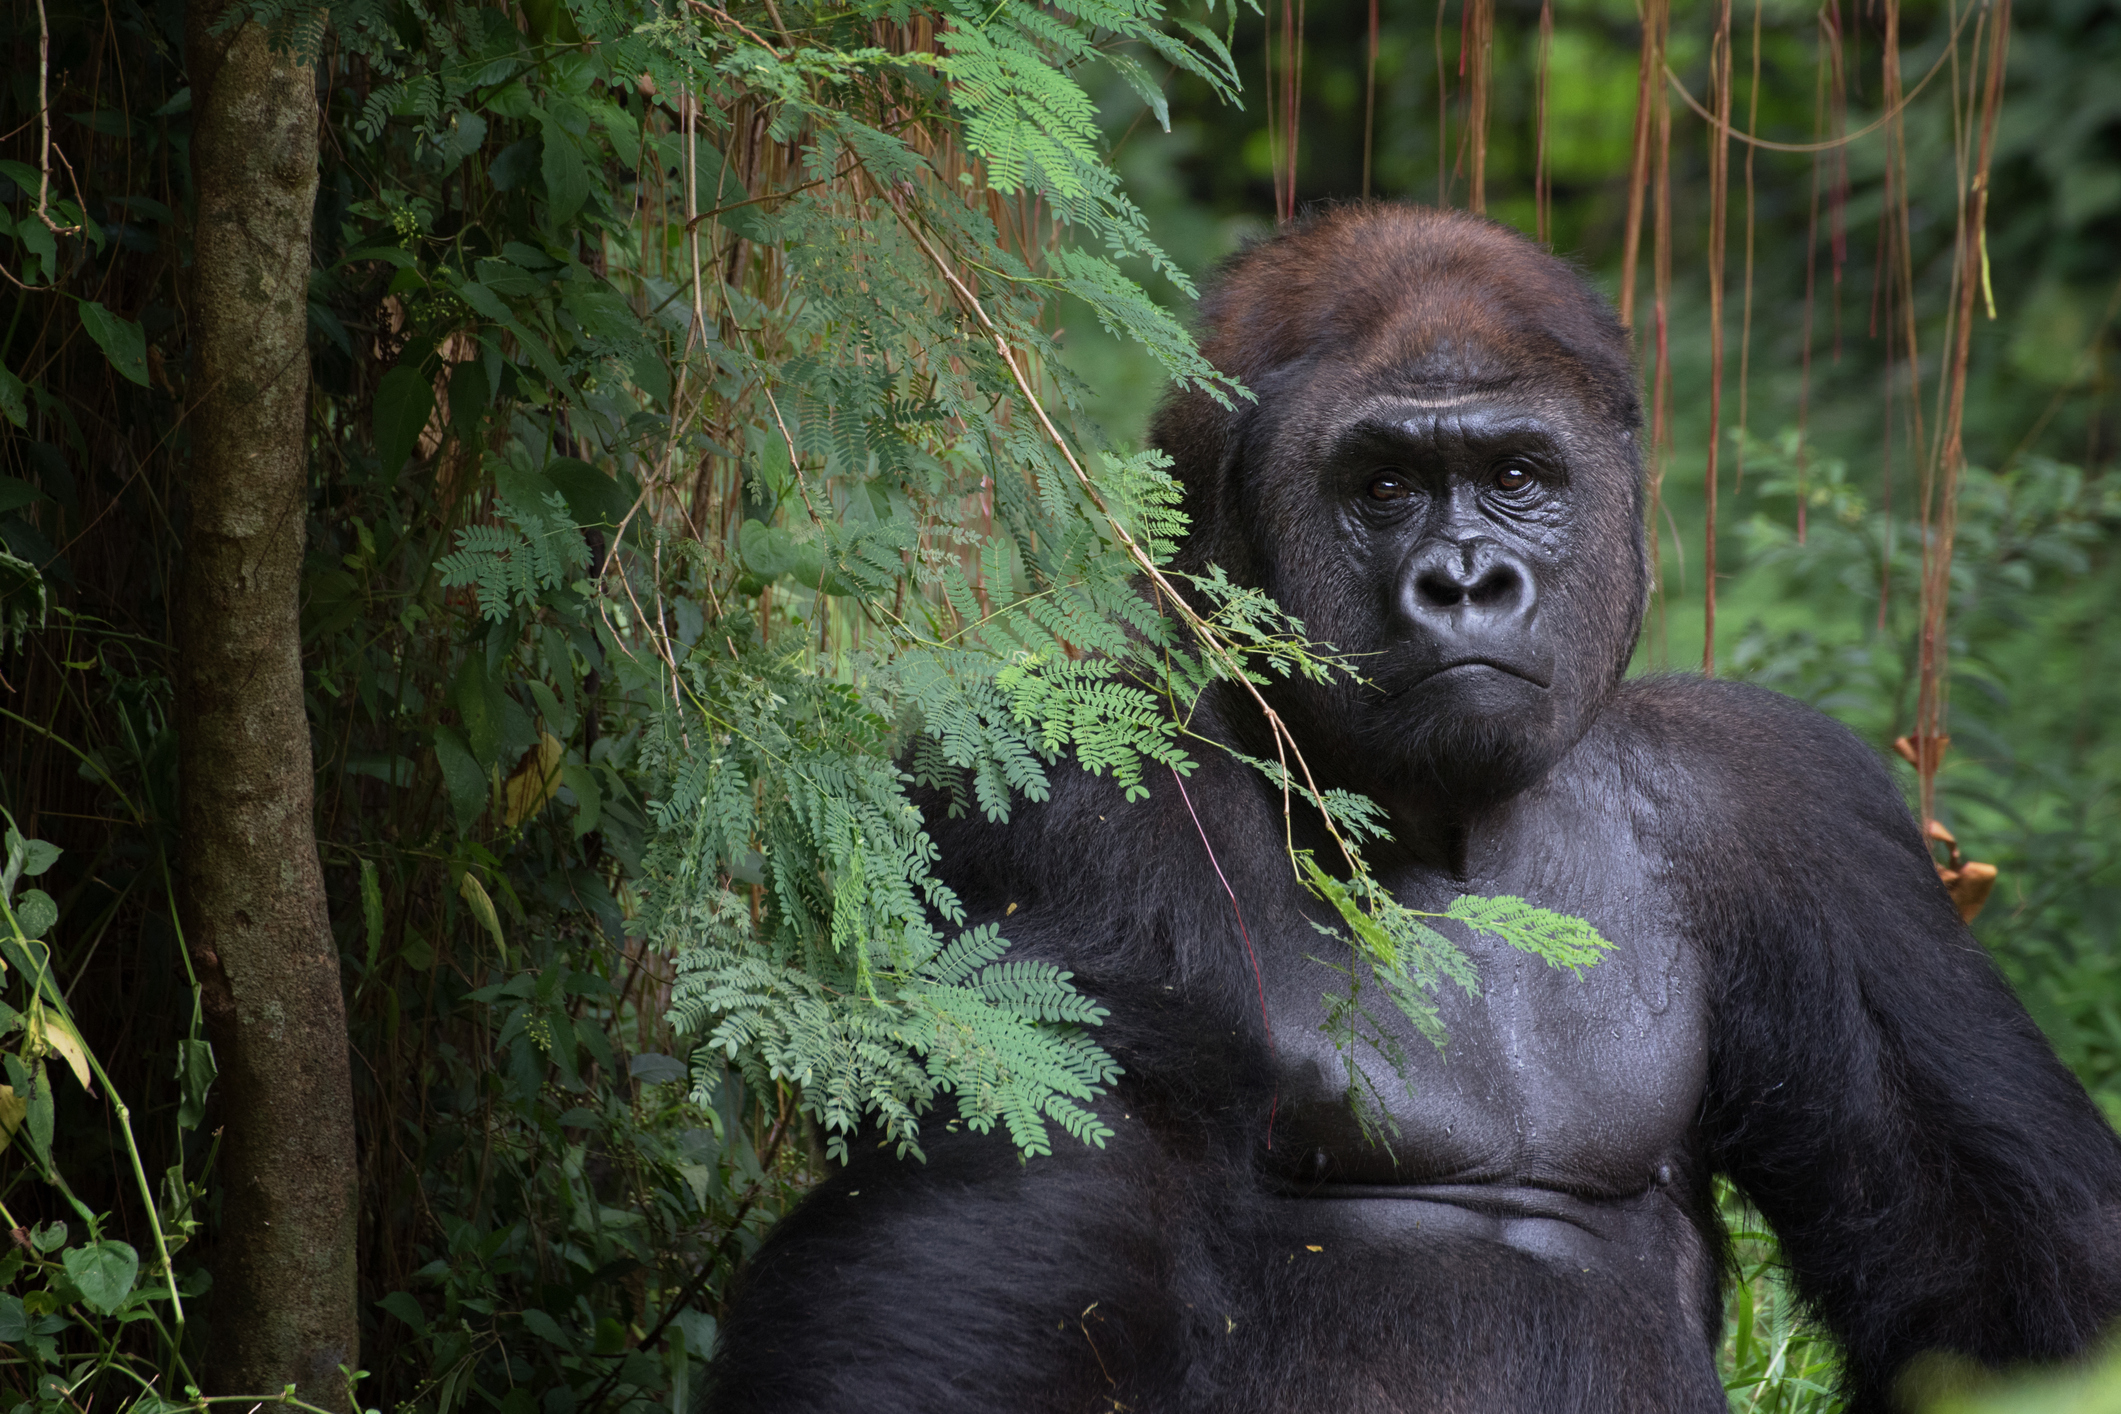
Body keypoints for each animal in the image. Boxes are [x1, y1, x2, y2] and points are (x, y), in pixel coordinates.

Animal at [708, 204, 2121, 1407]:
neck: (1442, 817)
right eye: (1383, 486)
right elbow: (991, 1237)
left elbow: (1996, 1264)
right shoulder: (1062, 801)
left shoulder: (1788, 803)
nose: (1468, 580)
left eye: (1517, 474)